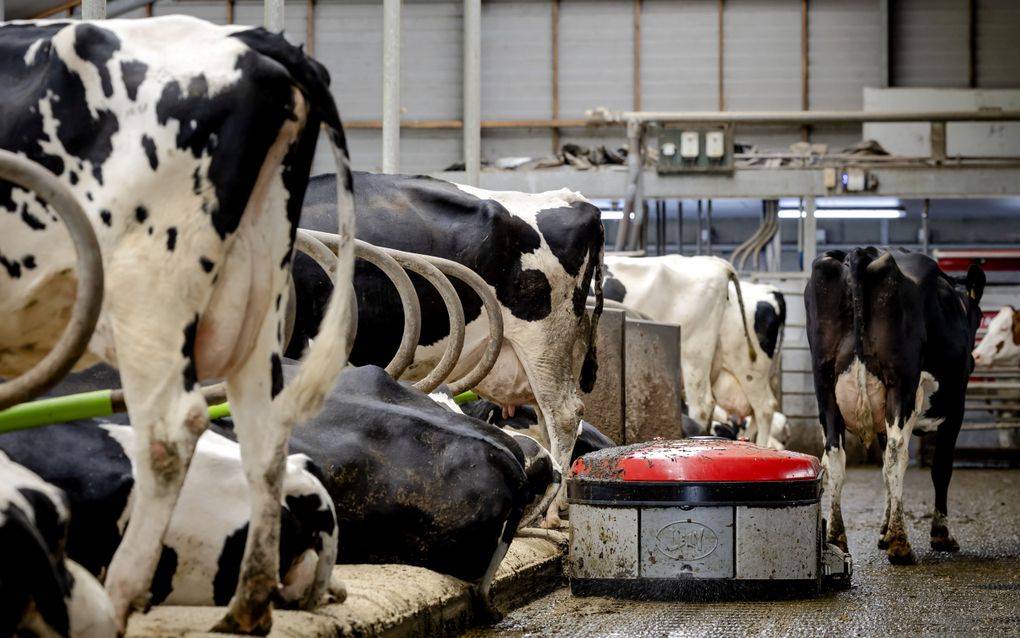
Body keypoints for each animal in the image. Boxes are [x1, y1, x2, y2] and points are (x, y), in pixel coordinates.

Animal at [803, 246, 987, 559]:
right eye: (979, 316)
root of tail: (860, 253)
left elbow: (883, 476)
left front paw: (883, 529)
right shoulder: (956, 408)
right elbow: (941, 468)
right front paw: (940, 534)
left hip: (824, 386)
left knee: (835, 457)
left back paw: (837, 536)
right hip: (901, 384)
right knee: (896, 453)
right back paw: (901, 544)